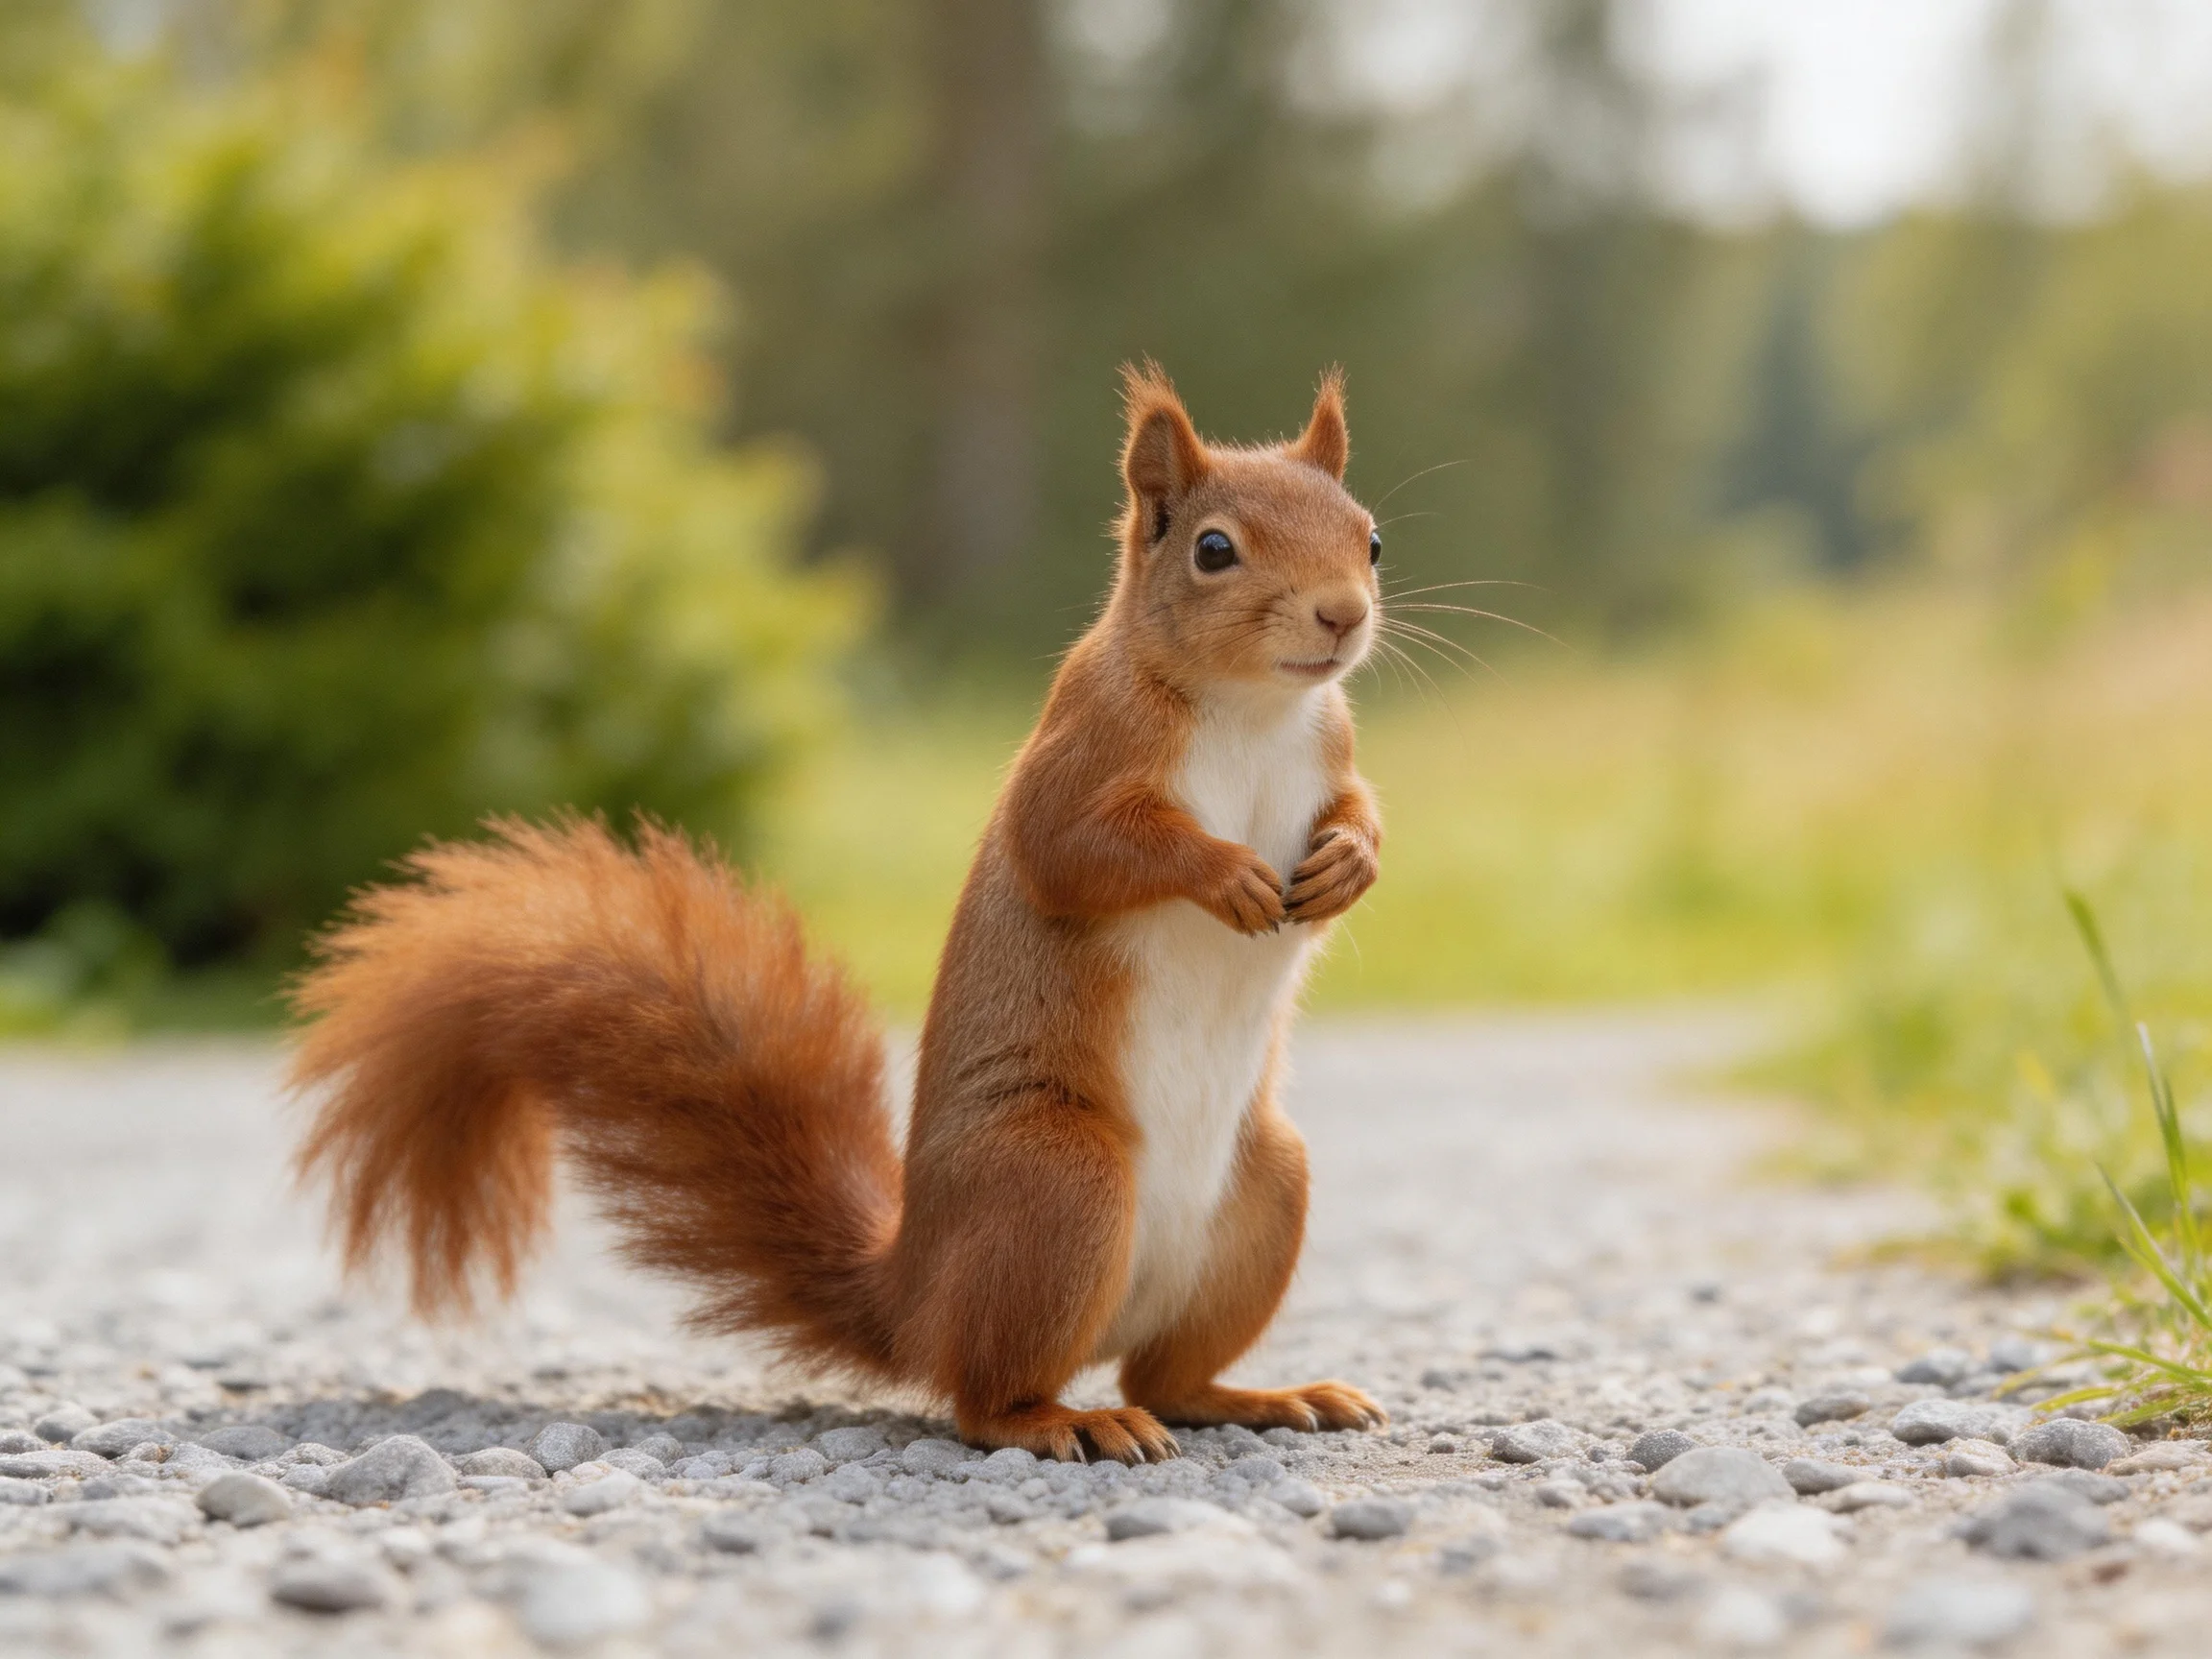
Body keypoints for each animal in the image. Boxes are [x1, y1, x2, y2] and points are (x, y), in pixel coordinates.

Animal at [290, 363, 1387, 1463]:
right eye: (1214, 550)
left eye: (1370, 537)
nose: (1342, 615)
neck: (1250, 709)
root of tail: (914, 1296)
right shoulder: (1084, 751)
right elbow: (1075, 849)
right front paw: (1225, 873)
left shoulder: (1327, 752)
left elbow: (1354, 813)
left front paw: (1350, 862)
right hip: (1057, 1180)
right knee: (990, 1394)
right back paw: (1064, 1420)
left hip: (1266, 1189)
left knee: (1169, 1375)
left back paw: (1263, 1396)